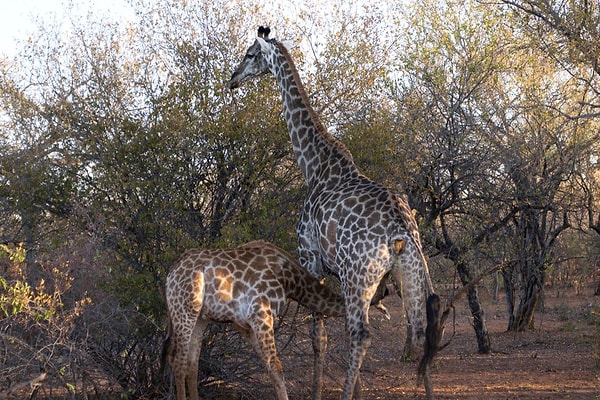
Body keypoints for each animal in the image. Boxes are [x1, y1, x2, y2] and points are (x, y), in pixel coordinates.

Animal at [162, 241, 344, 400]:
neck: (289, 279)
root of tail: (171, 274)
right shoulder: (260, 313)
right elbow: (276, 366)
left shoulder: (244, 323)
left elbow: (269, 366)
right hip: (185, 308)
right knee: (178, 362)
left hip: (200, 316)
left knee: (192, 364)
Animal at [227, 26, 438, 398]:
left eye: (250, 53)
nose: (233, 79)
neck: (313, 164)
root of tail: (401, 231)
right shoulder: (341, 273)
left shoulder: (311, 258)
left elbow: (319, 337)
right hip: (408, 274)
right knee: (418, 329)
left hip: (361, 275)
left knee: (362, 335)